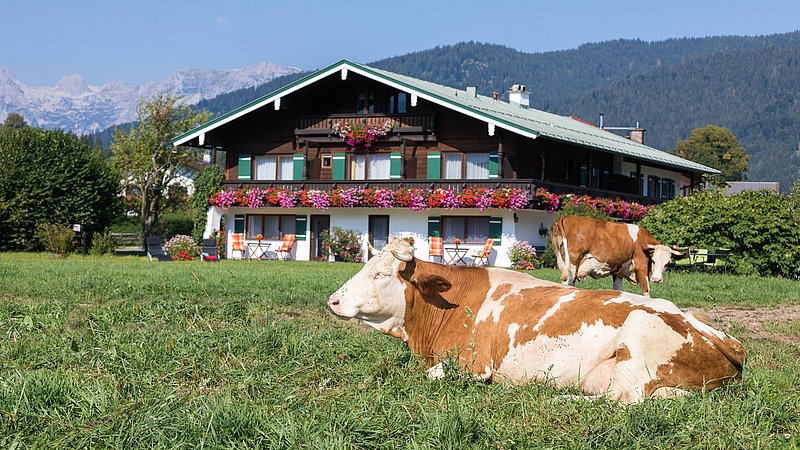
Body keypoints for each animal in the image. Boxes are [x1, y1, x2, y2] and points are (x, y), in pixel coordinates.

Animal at [324, 239, 744, 404]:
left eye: (380, 274)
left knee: (624, 400)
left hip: (633, 357)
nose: (333, 300)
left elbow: (434, 376)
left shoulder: (473, 365)